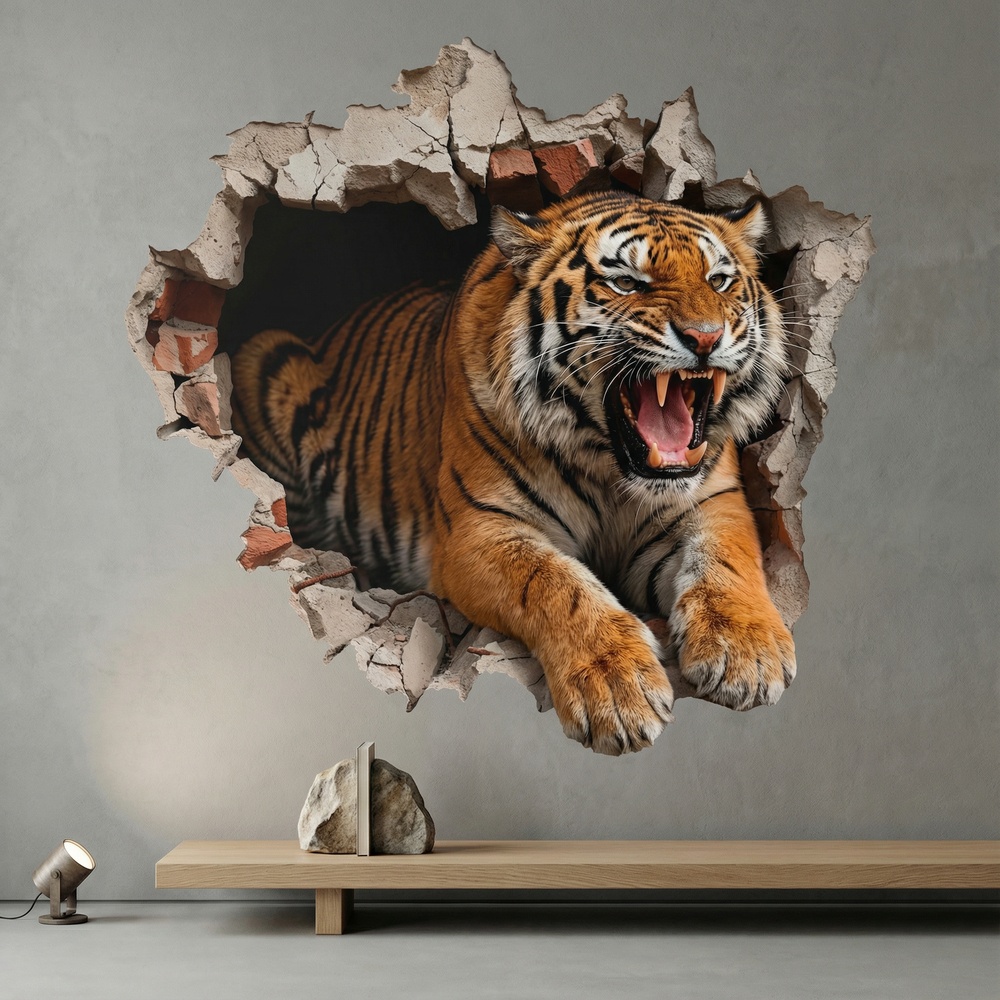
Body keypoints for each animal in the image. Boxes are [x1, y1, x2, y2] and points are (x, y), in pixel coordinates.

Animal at [231, 189, 796, 755]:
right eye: (626, 282)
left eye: (718, 280)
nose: (705, 337)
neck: (611, 469)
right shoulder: (479, 529)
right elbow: (556, 584)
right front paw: (616, 687)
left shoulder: (713, 501)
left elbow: (726, 560)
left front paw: (747, 655)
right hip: (265, 358)